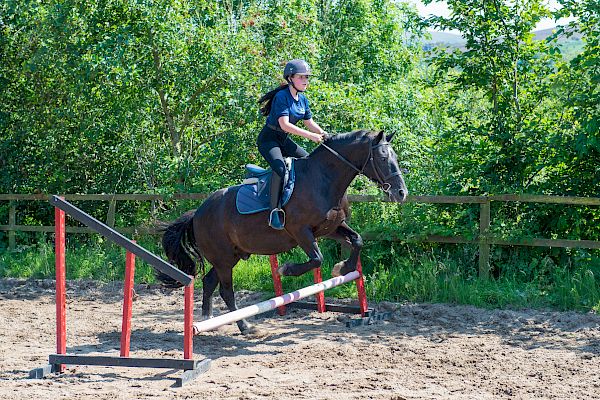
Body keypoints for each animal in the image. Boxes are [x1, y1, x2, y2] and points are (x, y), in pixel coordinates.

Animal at [161, 130, 408, 334]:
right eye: (383, 158)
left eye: (395, 158)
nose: (401, 193)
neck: (324, 179)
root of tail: (198, 212)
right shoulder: (301, 232)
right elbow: (317, 258)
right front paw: (286, 269)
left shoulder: (330, 228)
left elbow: (357, 241)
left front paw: (342, 268)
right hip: (223, 258)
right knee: (226, 291)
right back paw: (245, 326)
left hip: (231, 256)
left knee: (210, 281)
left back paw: (209, 320)